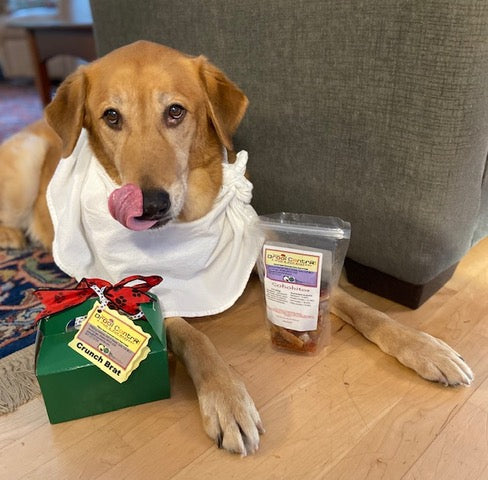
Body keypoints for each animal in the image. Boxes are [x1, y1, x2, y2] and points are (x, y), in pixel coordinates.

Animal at [0, 40, 472, 454]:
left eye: (175, 111)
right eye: (111, 117)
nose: (150, 205)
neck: (190, 217)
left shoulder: (259, 254)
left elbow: (361, 306)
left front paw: (426, 348)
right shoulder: (149, 294)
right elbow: (197, 340)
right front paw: (228, 400)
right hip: (24, 168)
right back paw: (14, 240)